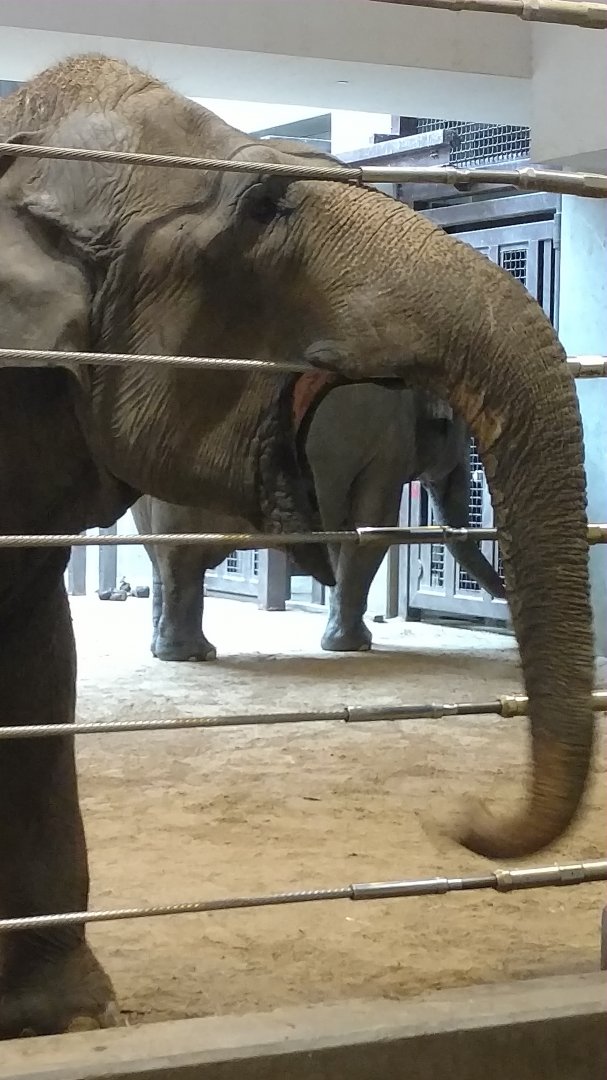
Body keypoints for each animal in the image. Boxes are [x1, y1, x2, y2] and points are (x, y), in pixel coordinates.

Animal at [132, 379, 505, 661]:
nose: (504, 594)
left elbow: (343, 533)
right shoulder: (388, 447)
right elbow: (375, 526)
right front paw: (356, 646)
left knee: (158, 555)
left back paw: (162, 650)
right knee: (183, 551)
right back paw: (195, 654)